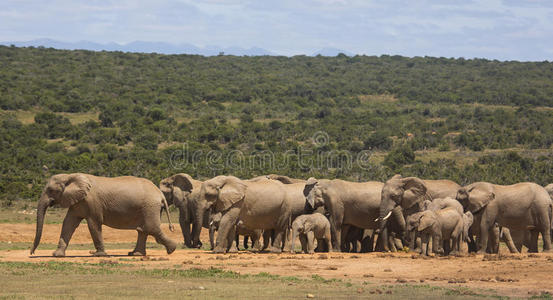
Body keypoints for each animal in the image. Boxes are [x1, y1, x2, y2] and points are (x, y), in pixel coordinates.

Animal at [30, 173, 177, 255]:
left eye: (50, 190)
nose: (32, 252)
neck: (70, 176)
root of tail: (160, 194)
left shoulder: (92, 202)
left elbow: (93, 224)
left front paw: (98, 255)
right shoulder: (78, 201)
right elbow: (68, 223)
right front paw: (56, 255)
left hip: (149, 207)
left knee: (150, 228)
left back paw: (171, 250)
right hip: (148, 208)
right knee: (143, 230)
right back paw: (135, 254)